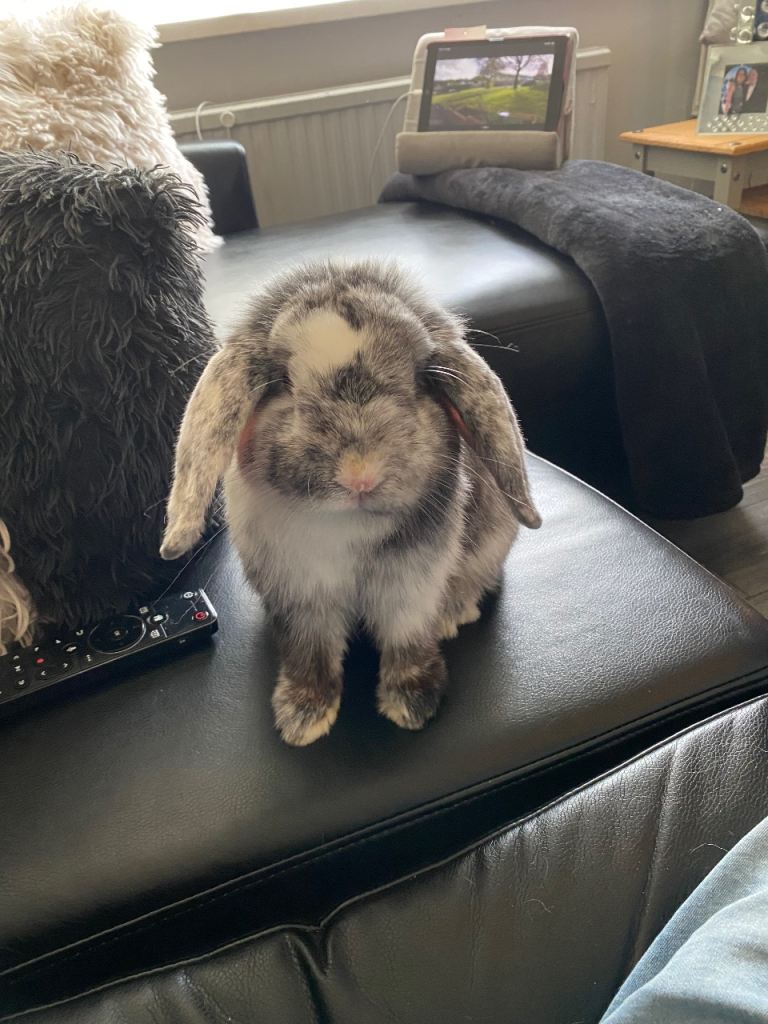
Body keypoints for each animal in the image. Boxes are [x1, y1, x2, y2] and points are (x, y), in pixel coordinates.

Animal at [160, 260, 541, 746]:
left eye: (419, 380)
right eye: (284, 383)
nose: (361, 475)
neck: (346, 526)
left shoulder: (411, 586)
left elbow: (406, 639)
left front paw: (411, 705)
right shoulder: (301, 595)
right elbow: (311, 652)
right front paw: (301, 718)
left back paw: (454, 614)